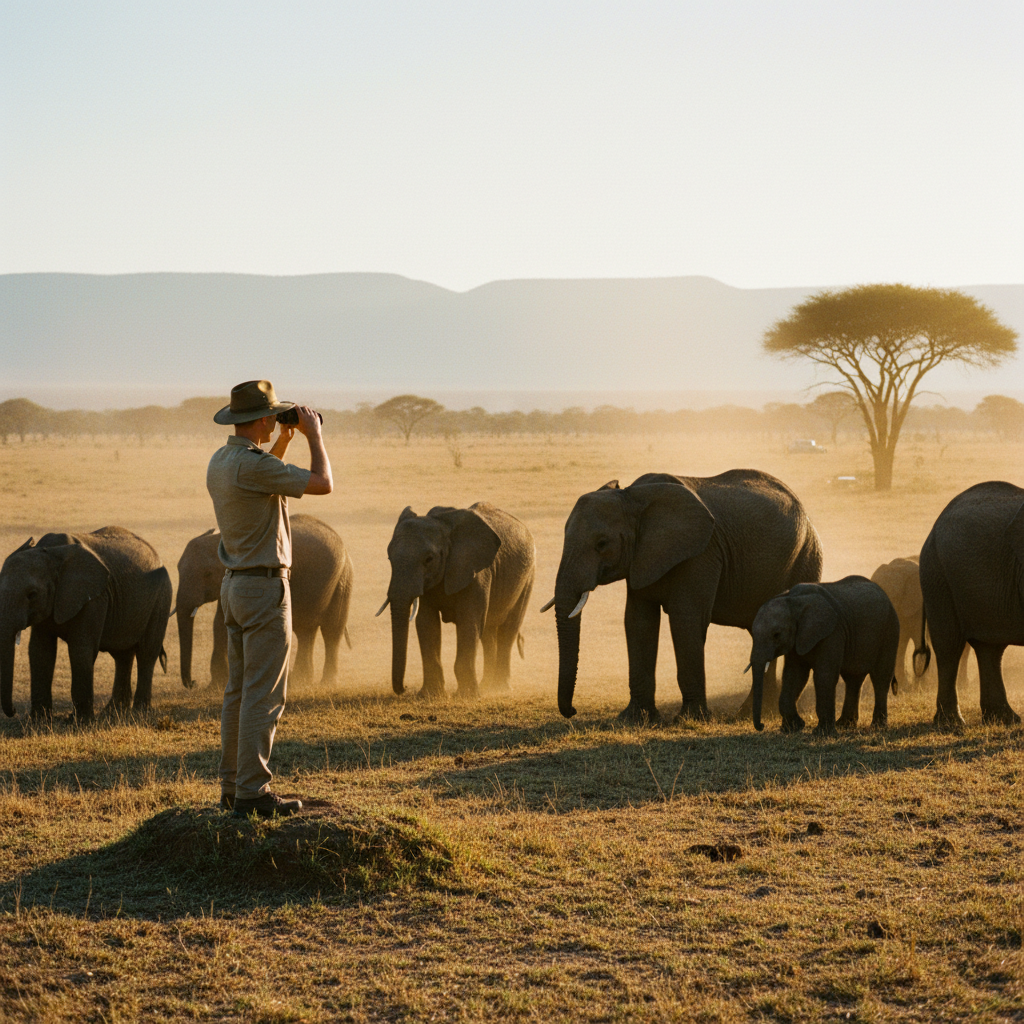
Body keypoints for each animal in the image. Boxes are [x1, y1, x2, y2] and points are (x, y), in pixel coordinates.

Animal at [0, 526, 172, 721]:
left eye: (32, 594)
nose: (14, 711)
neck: (51, 553)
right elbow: (40, 651)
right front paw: (39, 720)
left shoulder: (94, 598)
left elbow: (81, 649)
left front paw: (78, 721)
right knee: (122, 655)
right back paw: (113, 711)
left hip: (161, 598)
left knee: (146, 652)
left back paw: (138, 712)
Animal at [175, 514, 353, 690]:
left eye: (207, 574)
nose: (193, 683)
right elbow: (220, 622)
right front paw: (216, 685)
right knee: (306, 630)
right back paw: (300, 681)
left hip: (342, 578)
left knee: (331, 630)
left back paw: (325, 683)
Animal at [380, 502, 535, 698]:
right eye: (389, 557)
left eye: (429, 559)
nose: (405, 689)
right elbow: (426, 623)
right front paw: (430, 695)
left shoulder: (476, 572)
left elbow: (468, 622)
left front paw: (467, 696)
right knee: (488, 632)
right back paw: (486, 686)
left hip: (528, 576)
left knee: (508, 629)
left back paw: (500, 688)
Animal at [550, 470, 823, 724]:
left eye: (602, 544)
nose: (572, 711)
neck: (633, 496)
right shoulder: (642, 557)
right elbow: (639, 622)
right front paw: (635, 719)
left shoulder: (702, 553)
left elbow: (685, 619)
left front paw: (690, 719)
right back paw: (753, 714)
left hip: (806, 558)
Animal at [748, 576, 899, 735]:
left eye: (776, 635)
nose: (762, 725)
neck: (793, 599)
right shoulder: (797, 638)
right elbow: (794, 676)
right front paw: (793, 728)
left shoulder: (832, 633)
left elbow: (824, 676)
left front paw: (821, 733)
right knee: (853, 678)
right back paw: (844, 725)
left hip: (890, 630)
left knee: (880, 677)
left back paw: (877, 726)